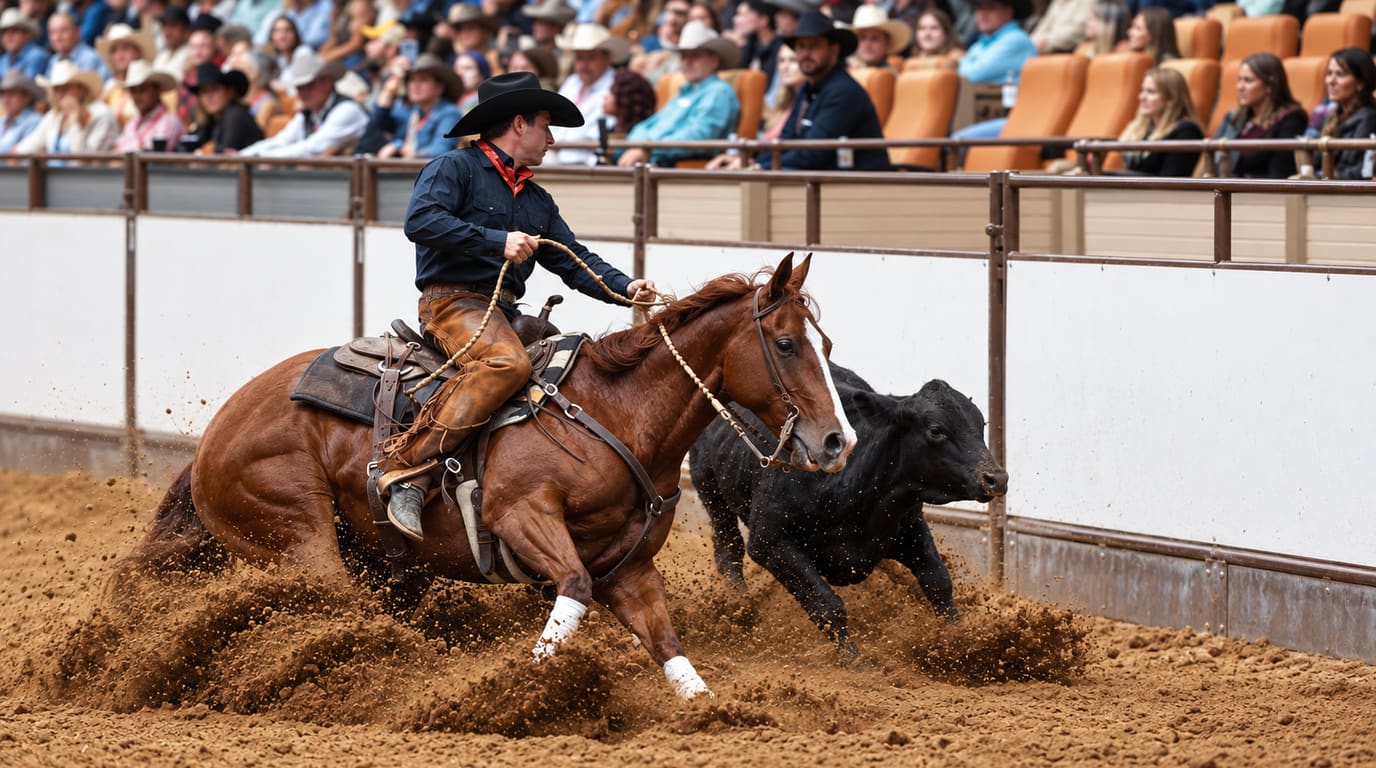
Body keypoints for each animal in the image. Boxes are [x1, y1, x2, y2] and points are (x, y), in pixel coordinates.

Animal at [124, 253, 857, 699]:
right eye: (786, 344)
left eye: (826, 344)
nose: (837, 441)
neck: (615, 414)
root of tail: (212, 439)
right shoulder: (522, 519)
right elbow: (571, 590)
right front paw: (521, 691)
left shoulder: (629, 566)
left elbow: (667, 643)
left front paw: (714, 711)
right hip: (297, 538)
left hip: (381, 561)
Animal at [688, 364, 1008, 663]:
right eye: (936, 430)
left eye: (981, 424)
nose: (996, 478)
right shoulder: (769, 541)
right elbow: (827, 604)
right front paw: (854, 659)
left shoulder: (909, 526)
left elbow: (938, 582)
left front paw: (959, 638)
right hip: (710, 489)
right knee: (727, 546)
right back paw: (739, 606)